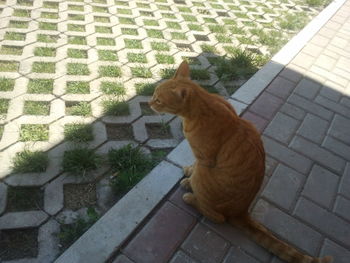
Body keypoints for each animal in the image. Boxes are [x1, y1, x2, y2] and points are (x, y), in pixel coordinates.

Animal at [148, 62, 334, 263]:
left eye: (158, 100)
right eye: (153, 94)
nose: (149, 103)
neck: (205, 104)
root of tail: (242, 211)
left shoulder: (205, 159)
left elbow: (197, 168)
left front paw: (188, 179)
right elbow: (193, 165)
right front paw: (189, 170)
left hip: (207, 180)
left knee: (218, 217)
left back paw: (191, 198)